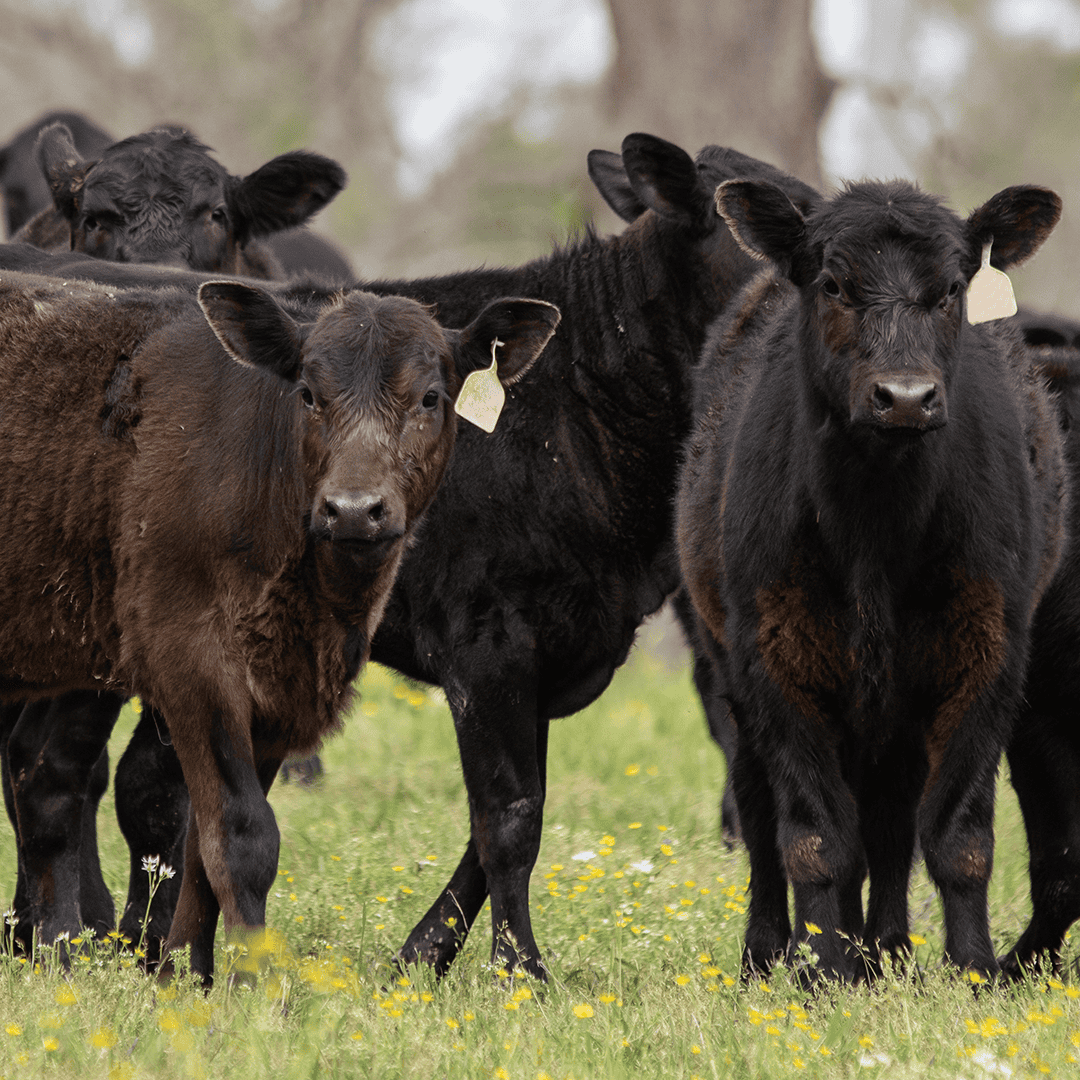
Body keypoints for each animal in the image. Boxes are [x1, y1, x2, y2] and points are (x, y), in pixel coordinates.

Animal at [0, 269, 558, 977]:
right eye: (308, 393)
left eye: (431, 397)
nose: (354, 510)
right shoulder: (190, 661)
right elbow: (243, 835)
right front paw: (253, 978)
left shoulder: (277, 692)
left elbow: (199, 845)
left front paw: (186, 974)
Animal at [675, 178, 1065, 981]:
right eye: (832, 284)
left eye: (952, 289)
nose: (906, 396)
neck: (876, 533)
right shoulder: (777, 660)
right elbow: (815, 840)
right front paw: (823, 972)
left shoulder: (986, 657)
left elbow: (957, 838)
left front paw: (972, 972)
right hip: (728, 672)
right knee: (762, 818)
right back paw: (771, 954)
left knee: (888, 828)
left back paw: (883, 951)